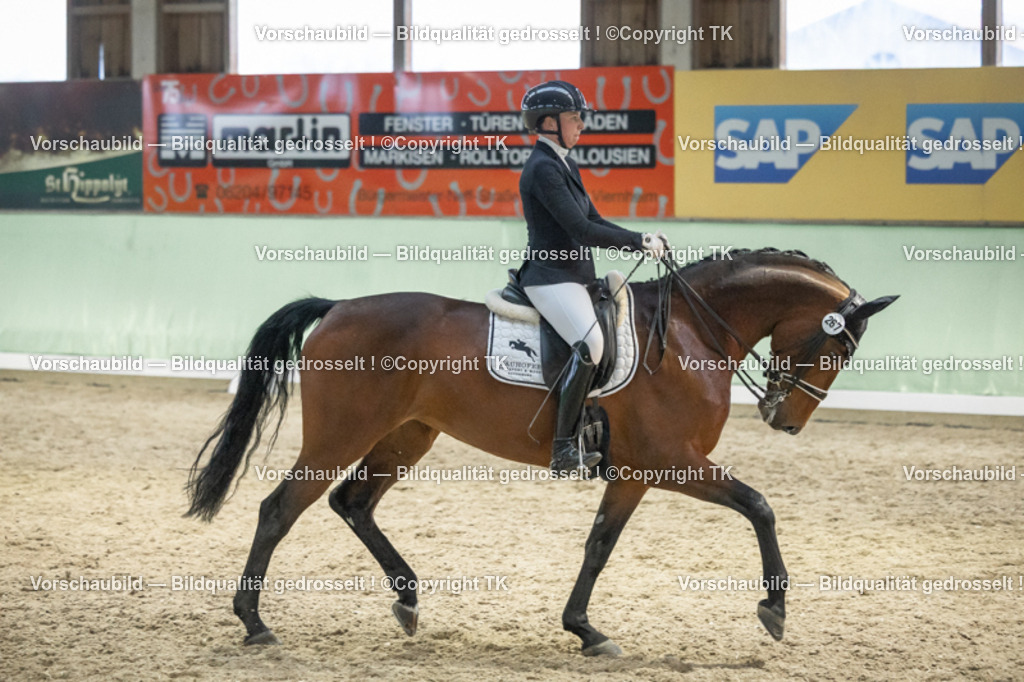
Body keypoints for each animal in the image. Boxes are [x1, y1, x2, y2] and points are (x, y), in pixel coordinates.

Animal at [185, 248, 897, 657]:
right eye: (840, 347)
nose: (787, 419)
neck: (693, 330)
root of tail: (337, 308)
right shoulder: (671, 460)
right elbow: (760, 505)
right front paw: (774, 609)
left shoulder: (635, 473)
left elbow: (600, 543)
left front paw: (584, 629)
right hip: (343, 435)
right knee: (281, 509)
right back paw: (254, 624)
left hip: (407, 435)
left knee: (352, 502)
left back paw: (408, 599)